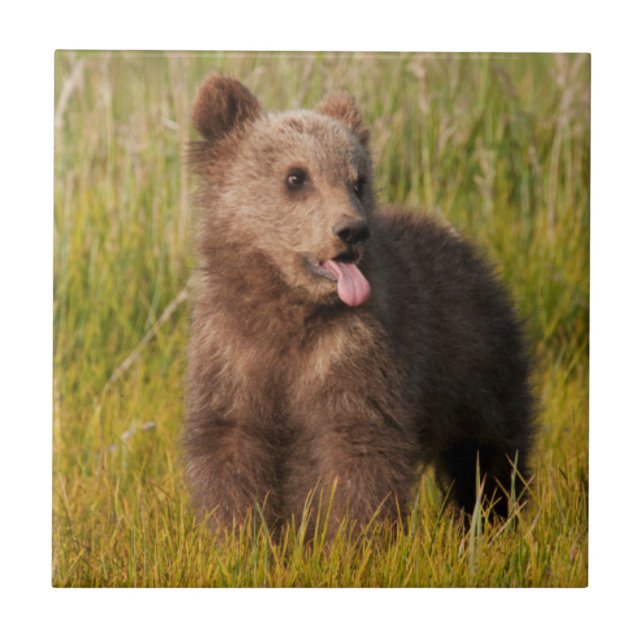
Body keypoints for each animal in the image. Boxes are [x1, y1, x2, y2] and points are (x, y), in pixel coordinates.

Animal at [183, 75, 534, 539]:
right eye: (296, 176)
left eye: (357, 180)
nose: (352, 230)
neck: (288, 308)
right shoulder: (232, 351)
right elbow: (231, 443)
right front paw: (239, 537)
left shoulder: (352, 350)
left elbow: (356, 450)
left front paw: (352, 540)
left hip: (473, 359)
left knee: (487, 451)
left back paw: (495, 519)